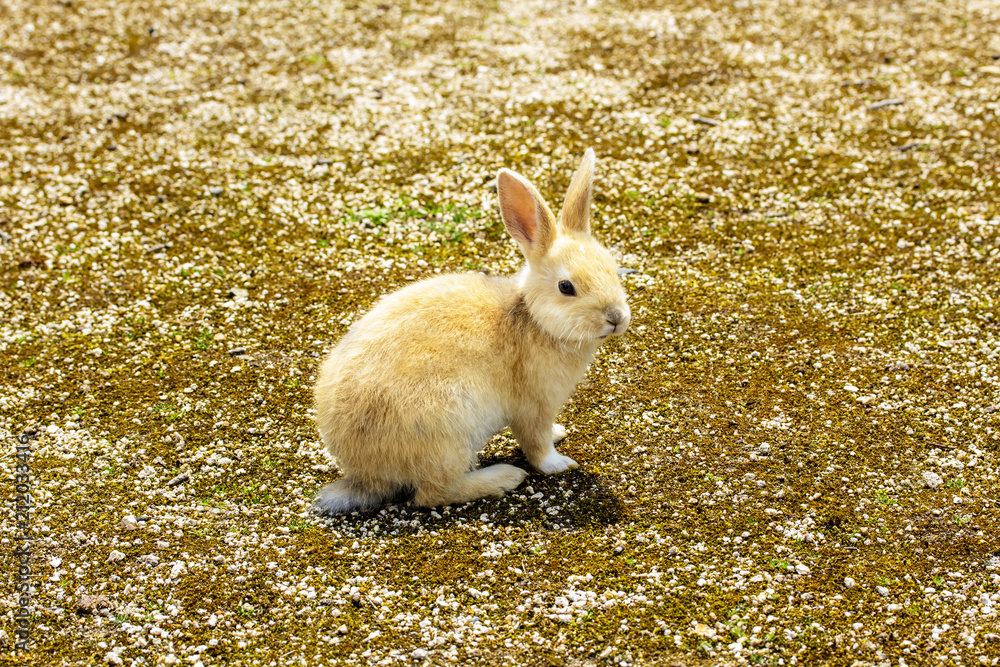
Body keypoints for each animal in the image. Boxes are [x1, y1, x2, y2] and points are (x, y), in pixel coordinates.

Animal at [312, 150, 628, 516]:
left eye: (612, 267)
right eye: (566, 287)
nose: (616, 318)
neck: (533, 320)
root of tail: (365, 472)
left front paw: (559, 432)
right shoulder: (533, 406)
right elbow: (536, 445)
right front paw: (558, 463)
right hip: (446, 432)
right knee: (432, 493)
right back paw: (505, 477)